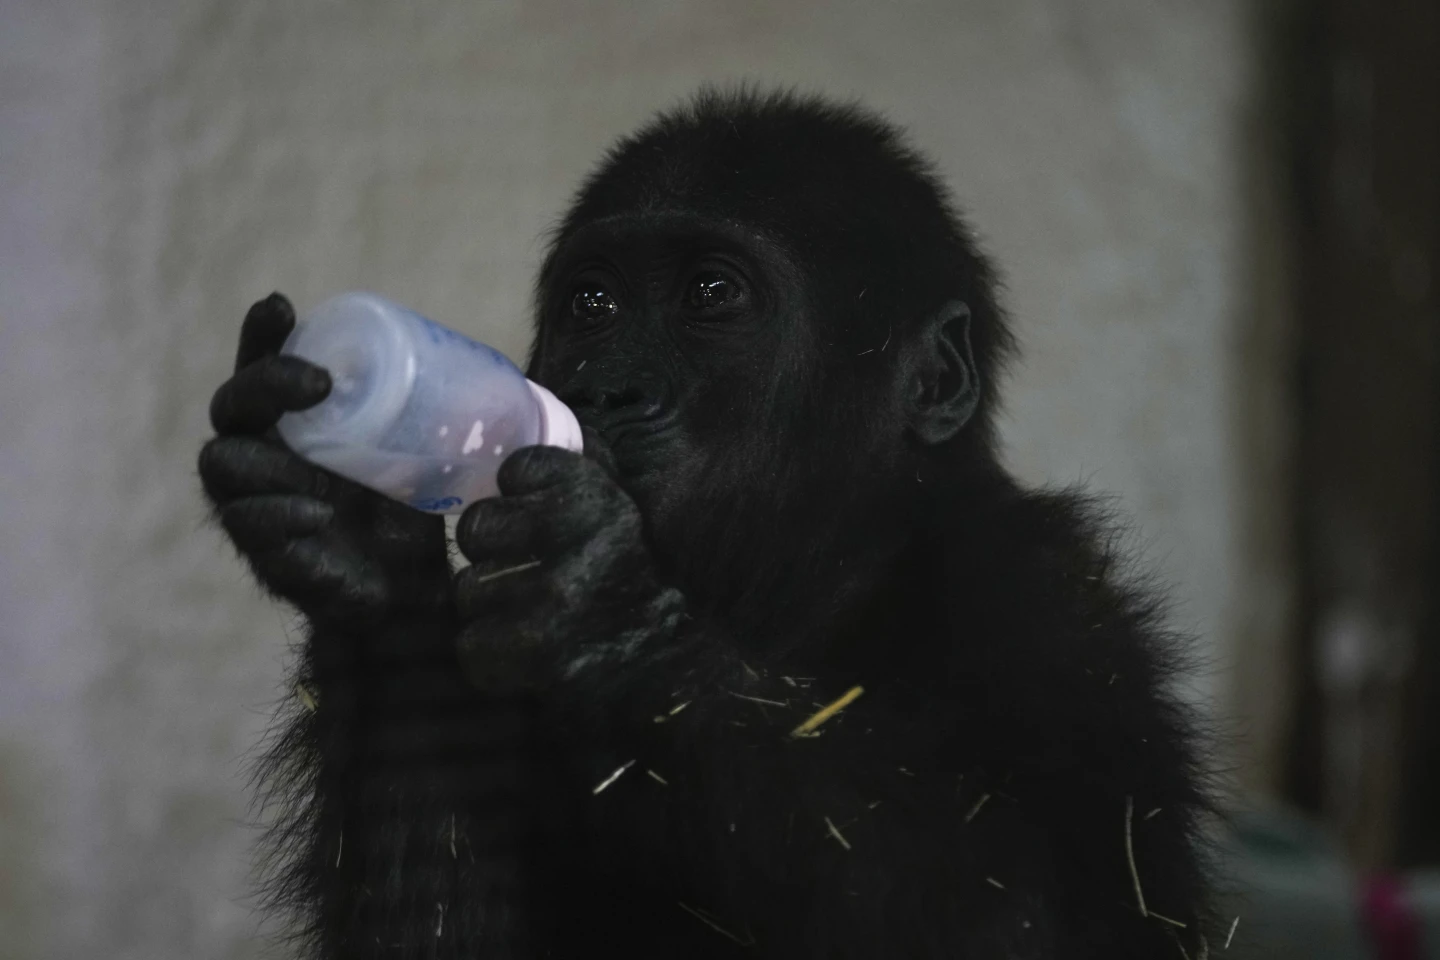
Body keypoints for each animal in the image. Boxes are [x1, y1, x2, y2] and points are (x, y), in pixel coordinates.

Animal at [200, 89, 1215, 960]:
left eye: (711, 295)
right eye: (594, 304)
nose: (607, 390)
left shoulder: (1050, 608)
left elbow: (1040, 917)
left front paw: (607, 619)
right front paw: (362, 536)